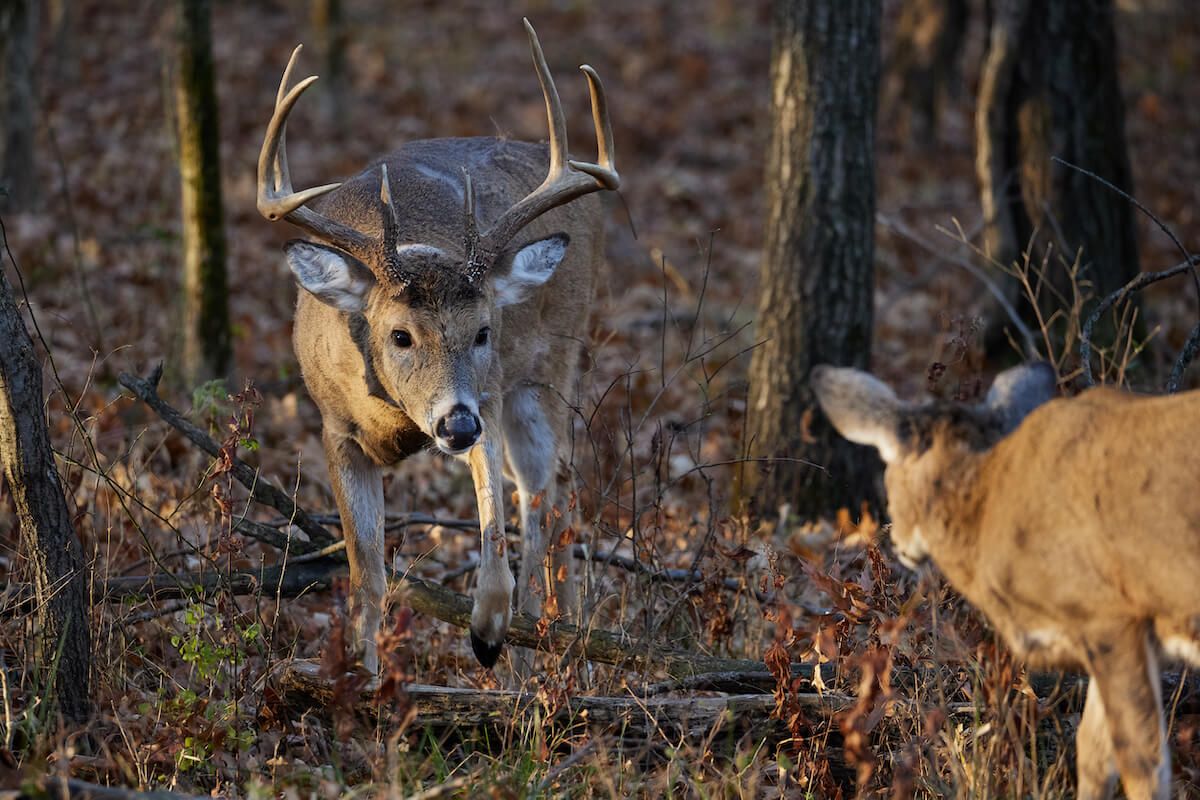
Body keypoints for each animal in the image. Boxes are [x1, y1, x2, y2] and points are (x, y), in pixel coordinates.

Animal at [255, 21, 619, 676]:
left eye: (483, 331)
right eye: (400, 334)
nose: (456, 425)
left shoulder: (489, 395)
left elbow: (494, 536)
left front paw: (488, 631)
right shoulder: (334, 429)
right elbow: (367, 575)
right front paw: (363, 676)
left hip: (551, 364)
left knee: (543, 491)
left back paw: (544, 643)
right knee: (550, 489)